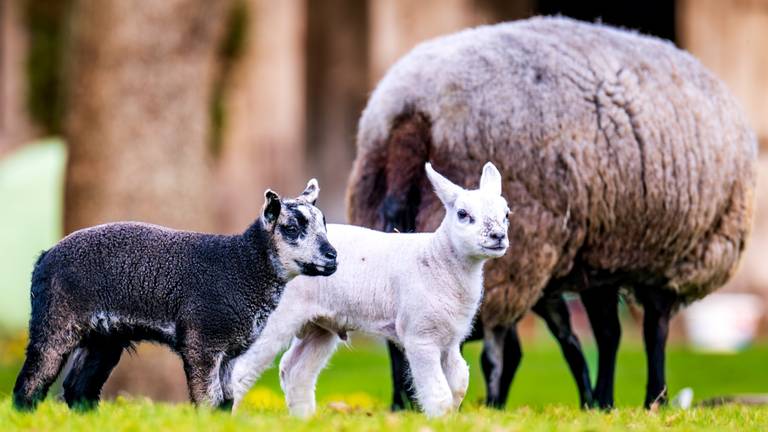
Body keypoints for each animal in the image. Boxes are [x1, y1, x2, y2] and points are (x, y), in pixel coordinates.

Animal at [226, 161, 510, 416]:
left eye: (506, 214)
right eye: (463, 214)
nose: (498, 236)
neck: (438, 260)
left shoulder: (450, 339)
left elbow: (459, 384)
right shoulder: (421, 335)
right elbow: (439, 394)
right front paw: (440, 420)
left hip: (320, 325)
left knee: (295, 371)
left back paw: (304, 419)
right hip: (275, 317)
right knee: (239, 369)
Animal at [348, 16, 756, 408]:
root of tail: (409, 116)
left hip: (598, 256)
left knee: (616, 331)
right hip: (577, 256)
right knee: (624, 331)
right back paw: (628, 399)